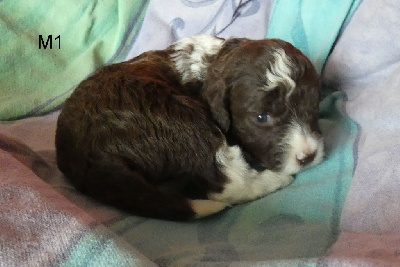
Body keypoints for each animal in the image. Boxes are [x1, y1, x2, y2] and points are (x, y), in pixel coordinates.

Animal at [55, 34, 324, 221]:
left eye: (314, 106)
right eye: (261, 117)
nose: (308, 156)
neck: (213, 63)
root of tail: (84, 156)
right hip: (179, 118)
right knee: (229, 183)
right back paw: (276, 180)